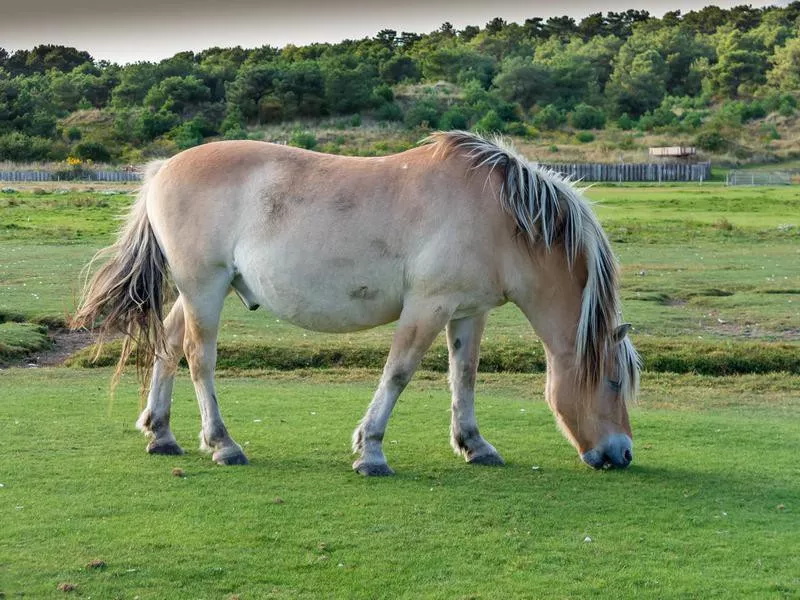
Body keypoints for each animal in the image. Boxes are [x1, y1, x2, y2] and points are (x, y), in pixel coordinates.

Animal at [72, 130, 640, 474]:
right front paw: (371, 451)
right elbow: (399, 373)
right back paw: (222, 443)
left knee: (168, 347)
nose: (623, 453)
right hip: (205, 288)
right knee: (198, 357)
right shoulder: (426, 308)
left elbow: (465, 376)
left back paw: (161, 432)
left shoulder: (467, 312)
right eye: (613, 382)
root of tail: (163, 168)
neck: (500, 216)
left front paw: (474, 444)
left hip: (200, 290)